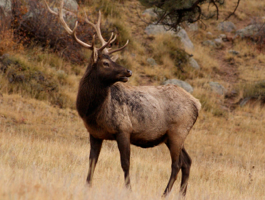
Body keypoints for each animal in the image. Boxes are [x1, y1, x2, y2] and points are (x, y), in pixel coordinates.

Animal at [43, 0, 200, 197]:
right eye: (105, 63)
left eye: (112, 60)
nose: (128, 71)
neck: (92, 112)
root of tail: (198, 104)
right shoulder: (94, 134)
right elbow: (92, 161)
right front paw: (87, 186)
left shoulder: (124, 129)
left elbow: (125, 163)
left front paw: (129, 190)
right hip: (171, 136)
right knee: (187, 161)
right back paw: (181, 194)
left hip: (178, 131)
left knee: (177, 164)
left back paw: (164, 193)